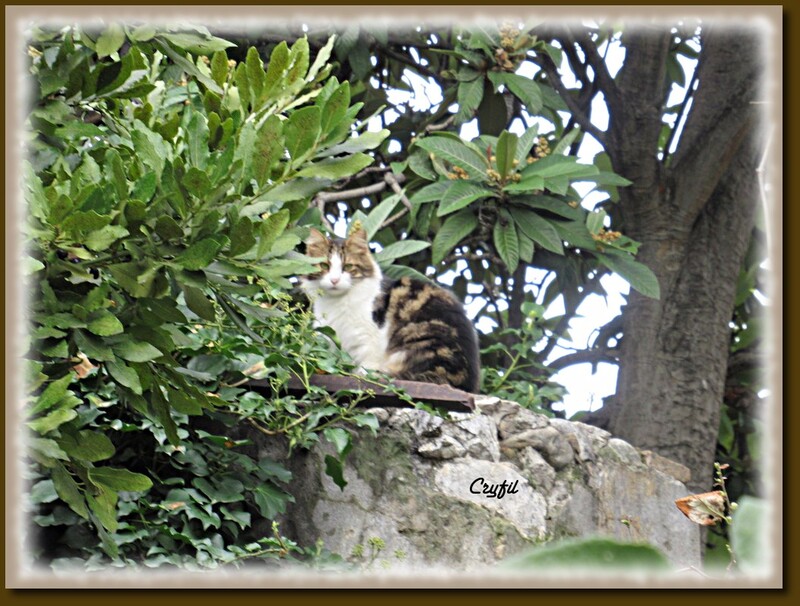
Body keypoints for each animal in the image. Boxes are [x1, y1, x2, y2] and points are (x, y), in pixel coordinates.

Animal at [298, 226, 478, 392]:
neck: (337, 302)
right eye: (324, 265)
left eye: (348, 267)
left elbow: (366, 366)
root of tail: (462, 383)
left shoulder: (369, 339)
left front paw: (362, 376)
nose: (334, 280)